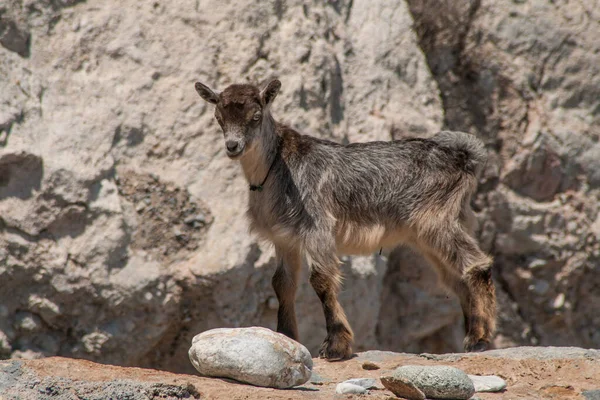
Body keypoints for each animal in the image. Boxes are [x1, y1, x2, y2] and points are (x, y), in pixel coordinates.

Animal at [195, 78, 494, 360]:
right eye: (218, 117)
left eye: (256, 116)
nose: (232, 146)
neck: (277, 167)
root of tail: (463, 158)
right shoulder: (284, 238)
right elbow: (282, 283)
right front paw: (287, 338)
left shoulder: (317, 227)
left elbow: (321, 279)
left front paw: (336, 346)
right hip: (429, 234)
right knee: (456, 280)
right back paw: (471, 335)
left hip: (436, 220)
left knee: (476, 265)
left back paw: (480, 339)